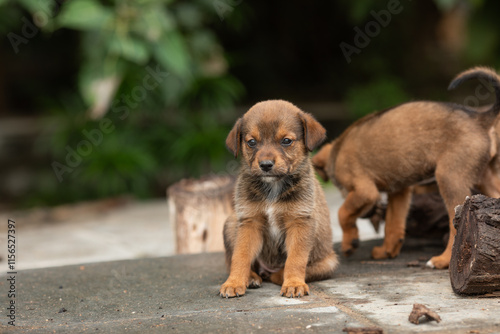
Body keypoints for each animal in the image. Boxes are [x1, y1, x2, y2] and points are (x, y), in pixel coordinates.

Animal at [220, 98, 340, 298]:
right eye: (251, 142)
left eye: (286, 141)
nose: (265, 165)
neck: (273, 188)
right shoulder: (250, 222)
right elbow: (240, 256)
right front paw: (234, 282)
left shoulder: (300, 222)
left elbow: (295, 260)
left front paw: (294, 283)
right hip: (230, 222)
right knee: (232, 261)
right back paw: (251, 277)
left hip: (329, 262)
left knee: (284, 272)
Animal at [312, 67, 500, 268]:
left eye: (344, 190)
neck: (337, 152)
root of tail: (479, 118)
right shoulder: (399, 192)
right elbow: (392, 224)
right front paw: (387, 251)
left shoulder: (365, 191)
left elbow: (343, 212)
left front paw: (349, 242)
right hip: (485, 178)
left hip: (449, 178)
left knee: (455, 223)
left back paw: (443, 260)